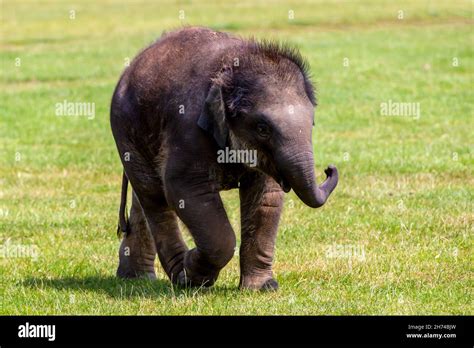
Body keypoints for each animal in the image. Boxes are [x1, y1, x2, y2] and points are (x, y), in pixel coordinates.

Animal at [109, 26, 338, 290]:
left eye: (312, 124)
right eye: (263, 129)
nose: (329, 169)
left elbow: (266, 197)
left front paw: (263, 288)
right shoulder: (188, 128)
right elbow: (184, 190)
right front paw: (195, 272)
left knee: (144, 196)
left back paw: (137, 277)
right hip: (125, 131)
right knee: (154, 197)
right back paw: (180, 274)